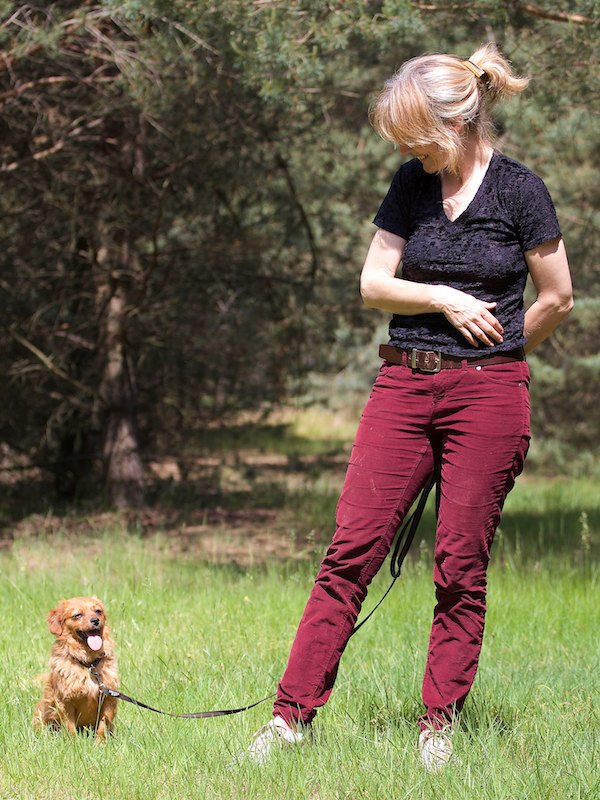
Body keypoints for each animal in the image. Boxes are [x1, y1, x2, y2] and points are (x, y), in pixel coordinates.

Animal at [33, 596, 118, 740]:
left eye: (98, 611)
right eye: (77, 615)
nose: (96, 620)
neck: (89, 664)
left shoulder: (108, 699)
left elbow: (103, 726)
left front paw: (100, 743)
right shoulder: (65, 701)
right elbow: (70, 727)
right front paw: (73, 743)